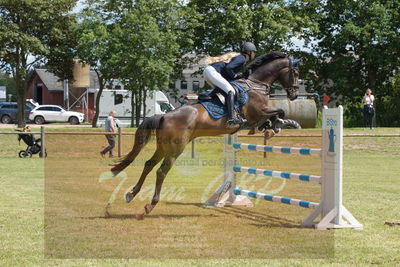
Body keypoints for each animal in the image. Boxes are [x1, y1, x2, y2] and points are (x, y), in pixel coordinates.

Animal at [109, 51, 300, 219]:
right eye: (296, 73)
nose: (294, 94)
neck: (256, 85)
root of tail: (164, 115)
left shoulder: (259, 116)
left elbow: (277, 115)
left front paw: (277, 126)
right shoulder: (258, 114)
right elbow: (280, 111)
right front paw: (276, 126)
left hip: (163, 146)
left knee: (149, 164)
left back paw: (131, 194)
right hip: (175, 149)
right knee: (161, 171)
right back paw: (150, 205)